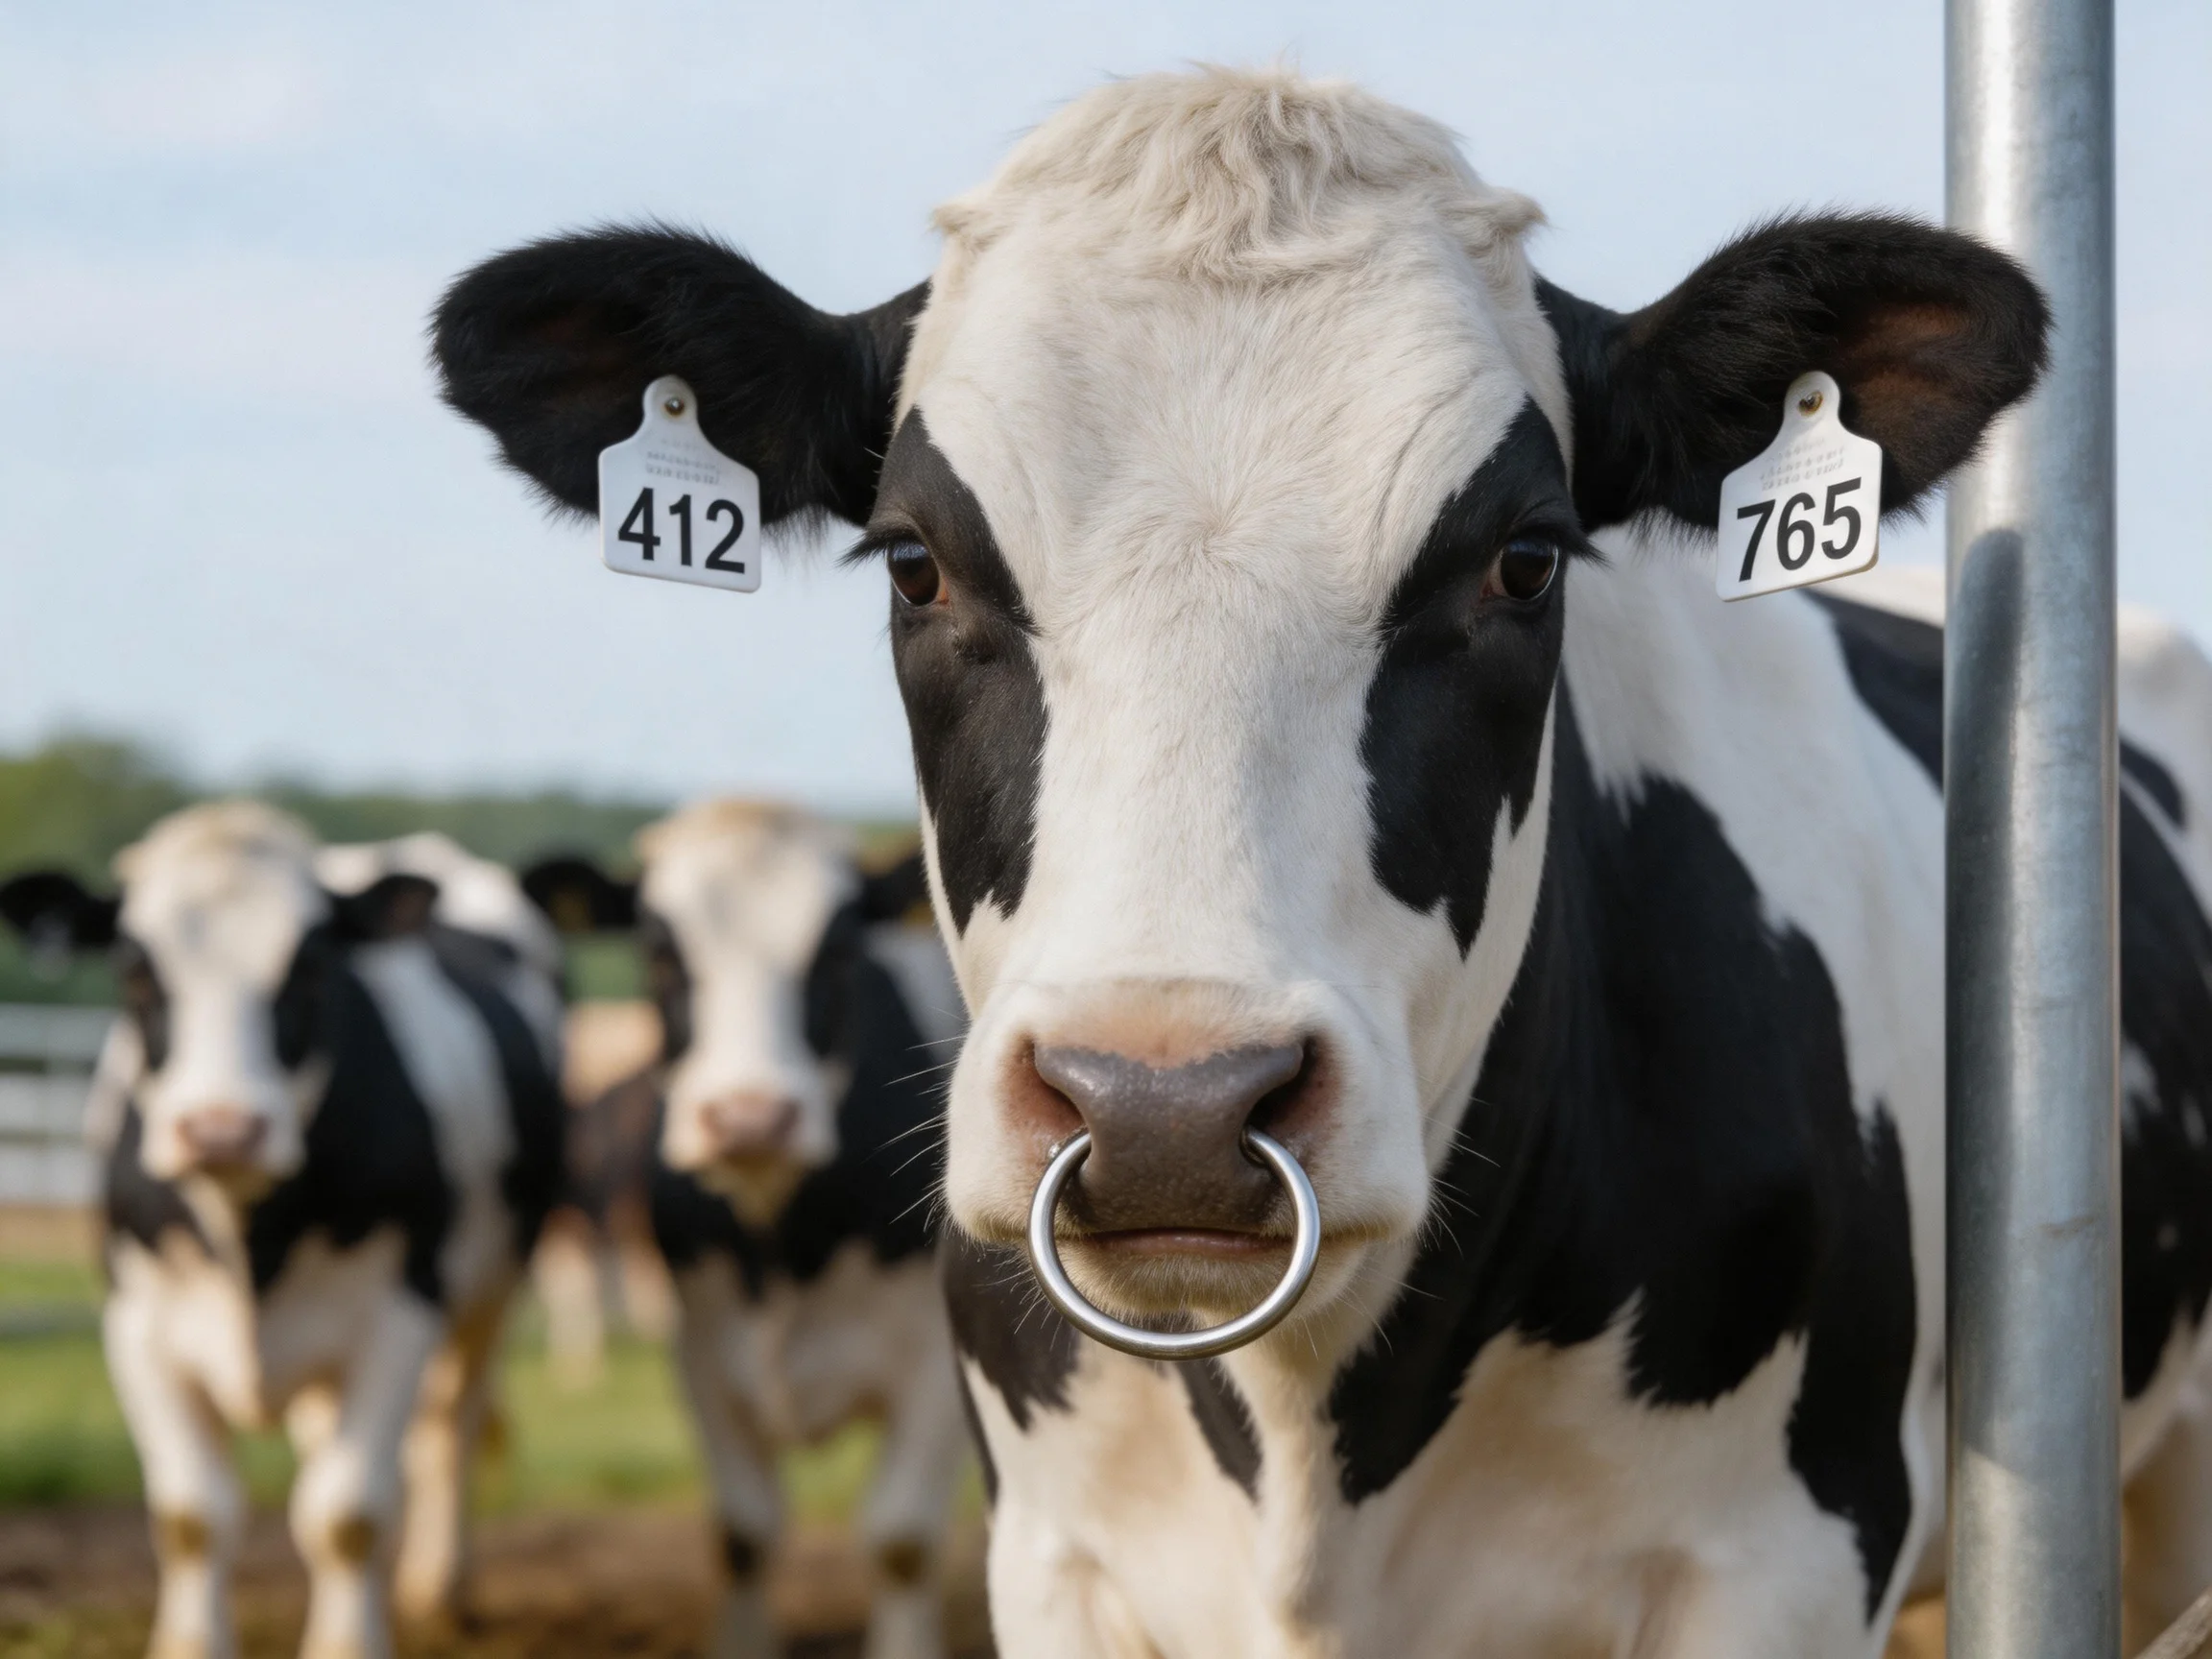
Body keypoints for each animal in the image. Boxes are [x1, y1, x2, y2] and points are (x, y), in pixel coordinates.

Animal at [0, 805, 564, 1659]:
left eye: (311, 968)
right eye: (135, 970)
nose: (222, 1129)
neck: (250, 1236)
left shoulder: (399, 1317)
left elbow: (349, 1514)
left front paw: (348, 1642)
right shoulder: (137, 1326)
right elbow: (193, 1515)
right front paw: (190, 1644)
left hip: (489, 1296)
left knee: (449, 1431)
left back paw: (440, 1587)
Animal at [520, 800, 969, 1659]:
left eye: (838, 951)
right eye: (660, 953)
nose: (750, 1117)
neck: (783, 1246)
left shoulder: (935, 1366)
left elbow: (900, 1538)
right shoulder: (700, 1353)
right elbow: (743, 1532)